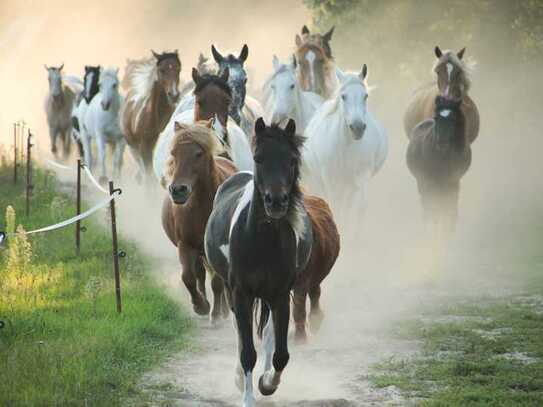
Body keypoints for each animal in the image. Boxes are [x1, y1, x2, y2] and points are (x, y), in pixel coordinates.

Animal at [120, 50, 182, 183]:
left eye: (178, 69)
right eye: (162, 70)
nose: (174, 95)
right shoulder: (145, 150)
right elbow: (150, 177)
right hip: (134, 148)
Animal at [163, 120, 237, 322]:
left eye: (198, 154)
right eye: (173, 153)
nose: (178, 190)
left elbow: (217, 282)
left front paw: (216, 314)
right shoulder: (186, 245)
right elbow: (188, 277)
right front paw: (201, 306)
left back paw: (223, 310)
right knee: (200, 275)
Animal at [205, 118, 340, 404]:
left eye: (291, 159)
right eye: (259, 157)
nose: (276, 202)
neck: (262, 242)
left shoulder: (279, 295)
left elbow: (280, 354)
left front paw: (267, 383)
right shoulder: (241, 292)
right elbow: (247, 351)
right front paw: (247, 398)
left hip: (268, 297)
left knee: (266, 336)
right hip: (235, 292)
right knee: (240, 334)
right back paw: (238, 378)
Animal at [304, 66, 388, 239]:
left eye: (365, 96)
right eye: (343, 96)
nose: (358, 128)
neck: (346, 146)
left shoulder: (362, 175)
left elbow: (361, 207)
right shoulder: (329, 178)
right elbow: (334, 205)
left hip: (349, 184)